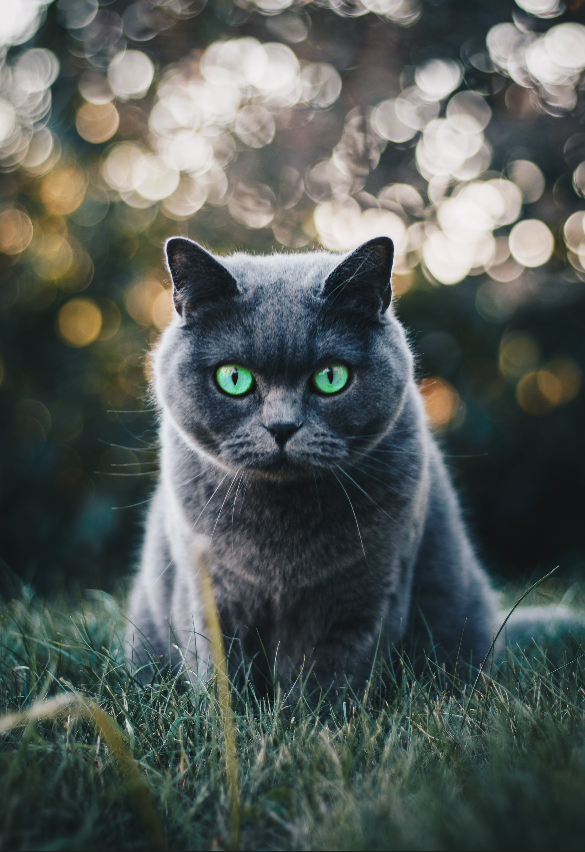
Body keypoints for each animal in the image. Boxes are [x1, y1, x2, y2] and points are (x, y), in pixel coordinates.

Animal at [123, 235, 564, 700]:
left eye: (331, 377)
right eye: (234, 378)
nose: (282, 427)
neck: (282, 534)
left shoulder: (367, 596)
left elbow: (332, 682)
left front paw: (316, 718)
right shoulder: (208, 590)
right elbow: (222, 674)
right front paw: (235, 717)